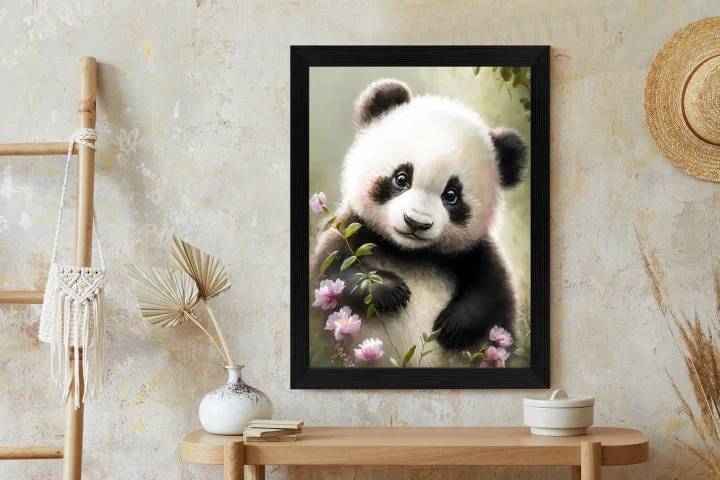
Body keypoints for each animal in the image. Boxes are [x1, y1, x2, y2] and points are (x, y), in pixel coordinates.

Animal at [311, 78, 528, 368]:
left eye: (451, 195)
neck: (411, 253)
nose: (415, 222)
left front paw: (453, 324)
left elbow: (493, 294)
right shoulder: (352, 231)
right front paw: (391, 290)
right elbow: (331, 276)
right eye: (401, 178)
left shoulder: (473, 252)